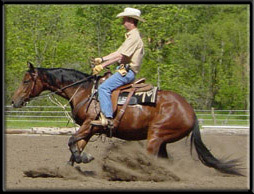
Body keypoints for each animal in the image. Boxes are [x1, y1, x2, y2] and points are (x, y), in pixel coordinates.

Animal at [10, 61, 243, 176]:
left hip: (155, 136)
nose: (14, 101)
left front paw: (83, 159)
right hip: (162, 141)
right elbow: (76, 145)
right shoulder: (90, 128)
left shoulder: (90, 125)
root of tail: (191, 112)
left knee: (151, 158)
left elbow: (71, 140)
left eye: (26, 80)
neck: (85, 90)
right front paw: (67, 168)